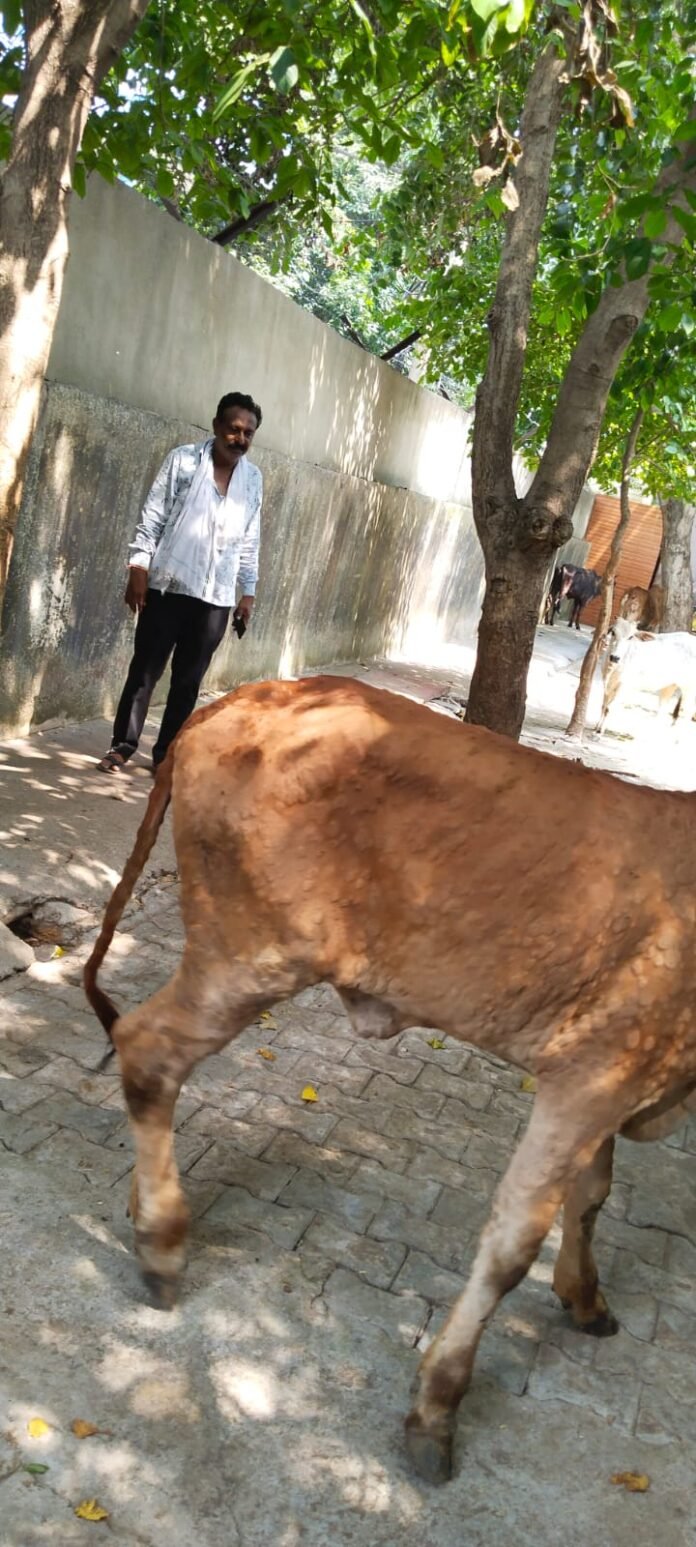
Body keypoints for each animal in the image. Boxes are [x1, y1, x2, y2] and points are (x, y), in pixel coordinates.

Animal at [84, 677, 696, 1486]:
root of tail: (244, 698)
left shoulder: (621, 1073)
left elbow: (591, 1197)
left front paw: (585, 1297)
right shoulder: (592, 1073)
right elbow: (513, 1244)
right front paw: (437, 1409)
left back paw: (140, 1204)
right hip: (249, 956)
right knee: (147, 1050)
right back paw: (161, 1243)